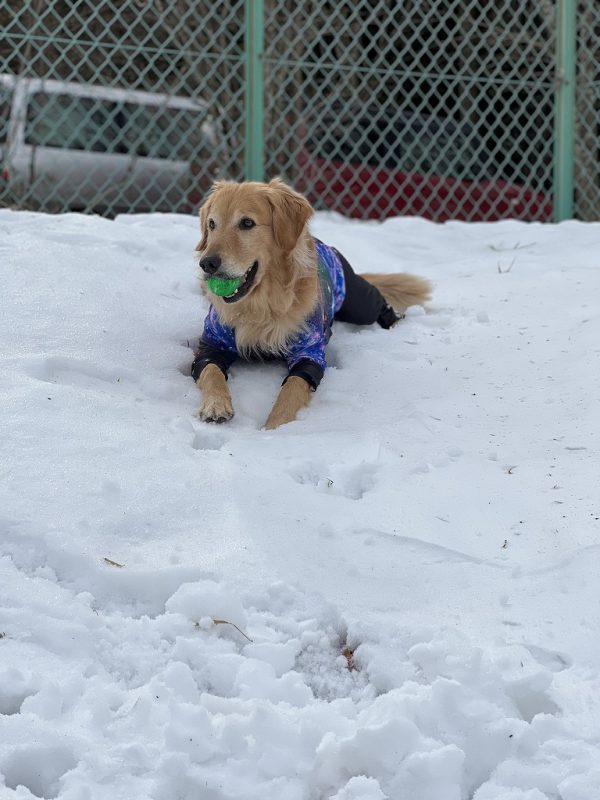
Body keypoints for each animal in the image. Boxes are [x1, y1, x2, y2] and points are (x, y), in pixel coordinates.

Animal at [192, 180, 432, 428]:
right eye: (212, 224)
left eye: (247, 223)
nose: (207, 264)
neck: (262, 306)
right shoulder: (213, 344)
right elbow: (211, 372)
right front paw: (216, 405)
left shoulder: (310, 352)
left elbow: (292, 388)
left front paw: (275, 427)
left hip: (359, 302)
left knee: (377, 301)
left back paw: (395, 320)